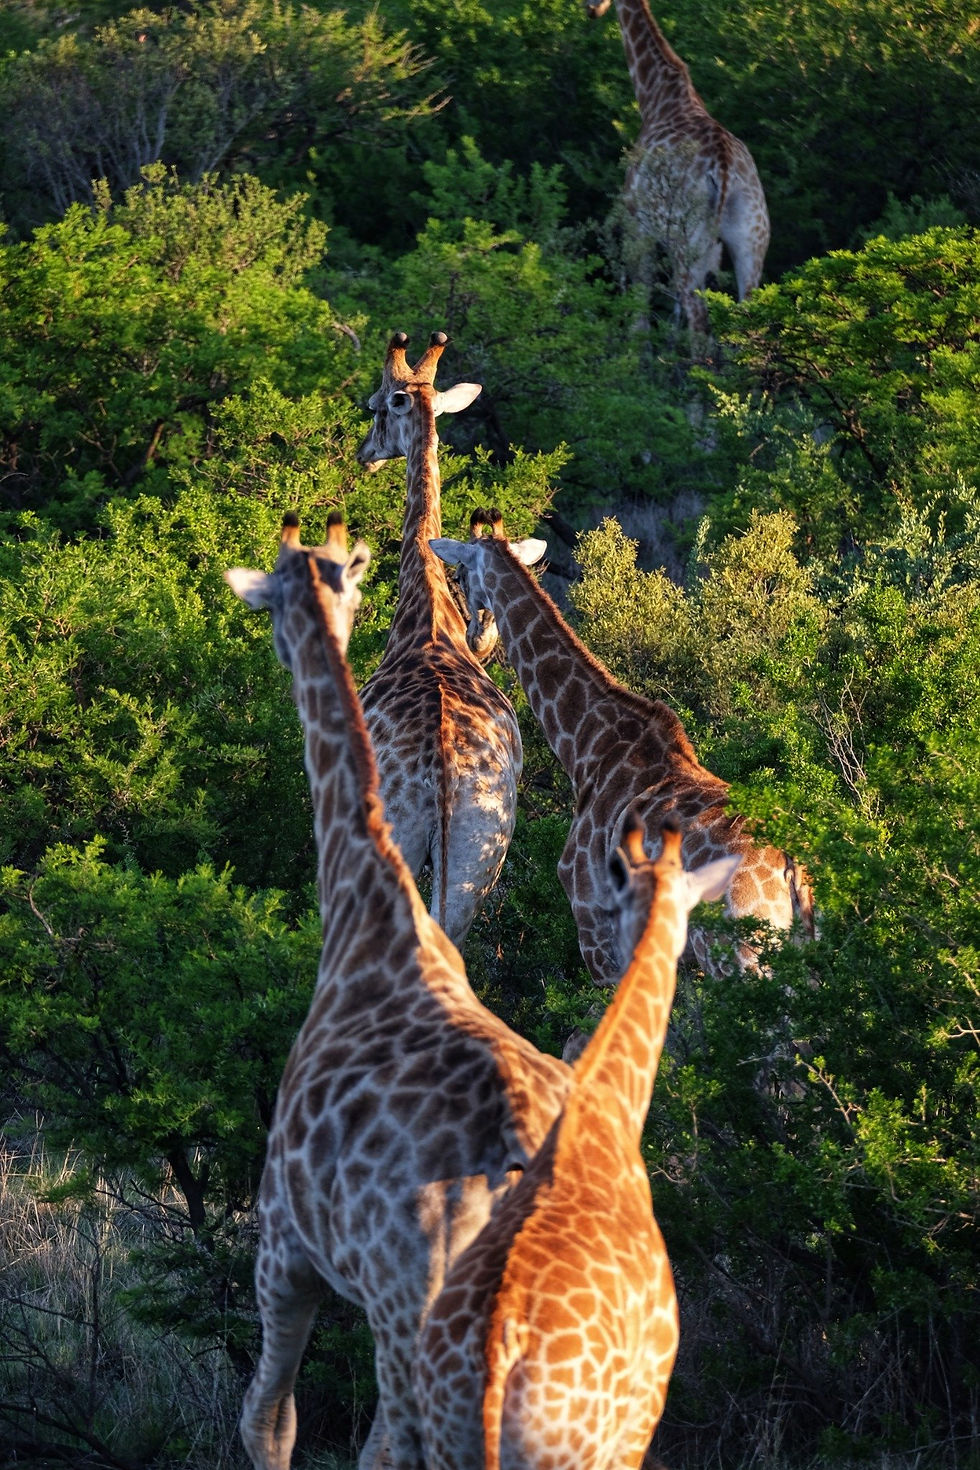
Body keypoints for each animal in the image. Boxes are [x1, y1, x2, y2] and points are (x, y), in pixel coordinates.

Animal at [431, 513, 816, 989]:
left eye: (461, 575)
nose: (476, 639)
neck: (587, 746)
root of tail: (791, 868)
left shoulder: (593, 922)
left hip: (740, 957)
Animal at [589, 0, 770, 335]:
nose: (591, 10)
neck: (656, 98)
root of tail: (722, 167)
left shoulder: (637, 227)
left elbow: (639, 314)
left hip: (686, 242)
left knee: (697, 318)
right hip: (752, 239)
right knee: (748, 317)